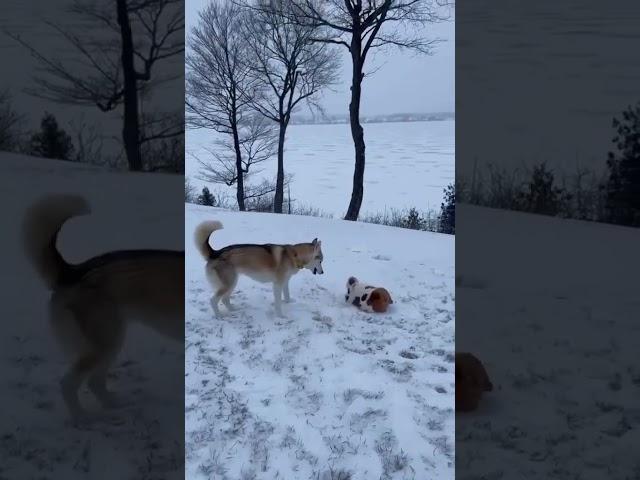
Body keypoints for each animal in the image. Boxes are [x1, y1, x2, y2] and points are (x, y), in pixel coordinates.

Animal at [22, 194, 182, 420]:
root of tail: (74, 270)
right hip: (105, 343)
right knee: (68, 384)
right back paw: (81, 418)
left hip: (110, 343)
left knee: (94, 382)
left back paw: (114, 404)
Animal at [194, 222, 324, 318]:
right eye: (321, 260)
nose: (323, 272)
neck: (294, 255)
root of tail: (215, 253)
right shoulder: (277, 284)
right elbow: (278, 303)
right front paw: (280, 316)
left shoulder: (285, 282)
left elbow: (287, 296)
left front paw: (289, 302)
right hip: (229, 283)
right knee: (213, 300)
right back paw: (219, 316)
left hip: (232, 283)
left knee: (225, 299)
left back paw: (234, 309)